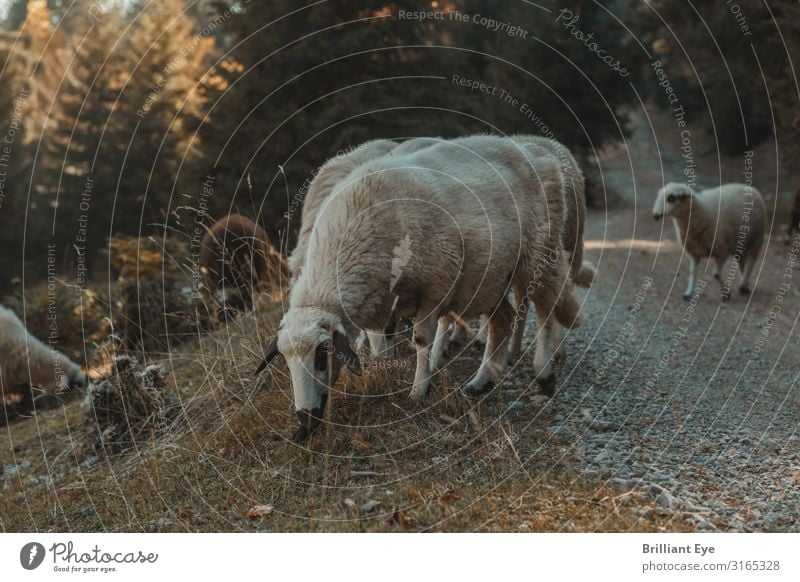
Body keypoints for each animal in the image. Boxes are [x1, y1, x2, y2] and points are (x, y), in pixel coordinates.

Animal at [260, 133, 580, 442]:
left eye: (321, 356)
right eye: (285, 361)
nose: (305, 419)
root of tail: (537, 150)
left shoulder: (435, 286)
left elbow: (422, 339)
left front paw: (419, 390)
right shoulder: (386, 300)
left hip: (540, 255)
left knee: (546, 309)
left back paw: (545, 372)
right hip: (490, 278)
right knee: (504, 320)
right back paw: (481, 382)